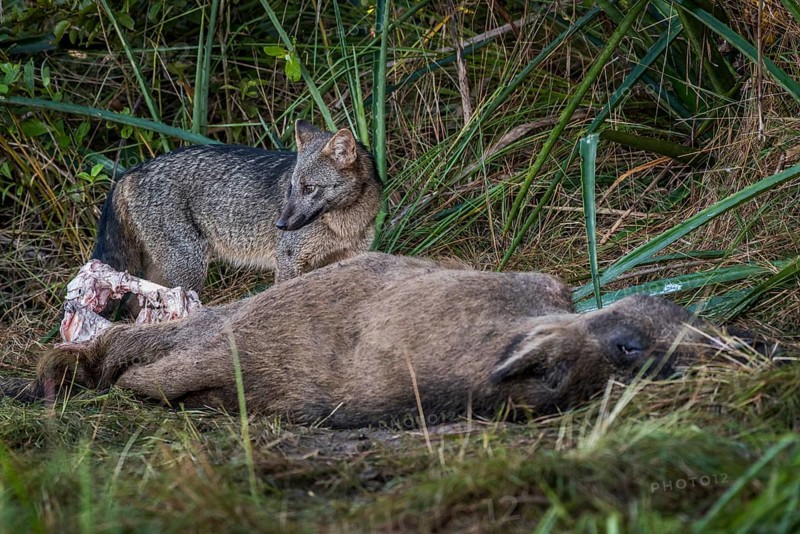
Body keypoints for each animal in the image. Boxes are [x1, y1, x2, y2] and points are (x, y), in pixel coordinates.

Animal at [92, 120, 382, 290]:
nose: (280, 225)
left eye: (309, 188)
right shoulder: (289, 260)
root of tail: (132, 171)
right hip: (189, 270)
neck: (344, 226)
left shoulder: (348, 259)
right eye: (291, 187)